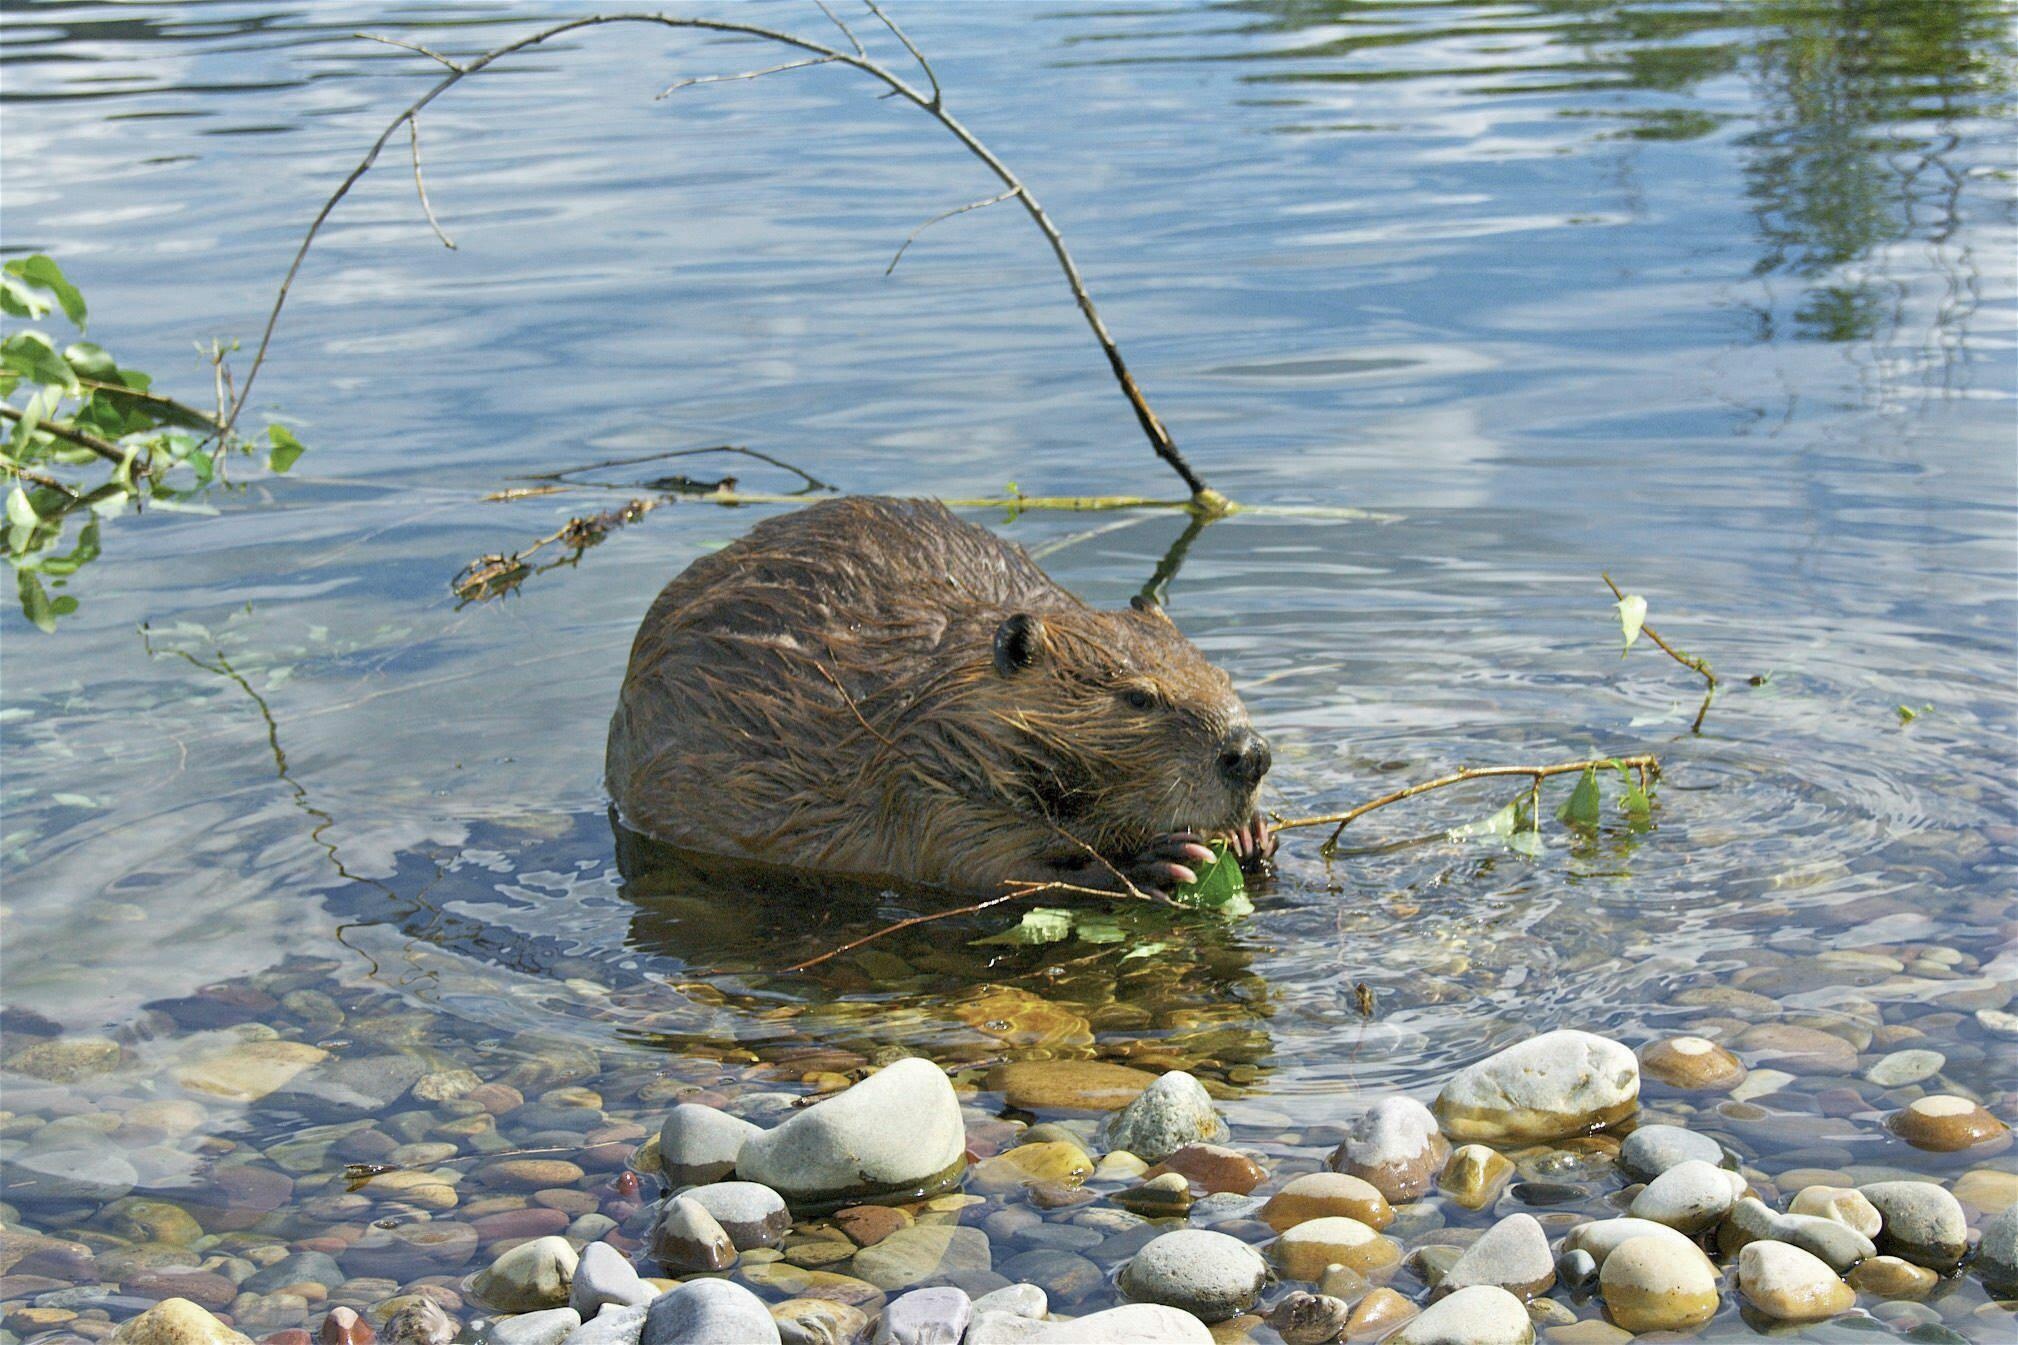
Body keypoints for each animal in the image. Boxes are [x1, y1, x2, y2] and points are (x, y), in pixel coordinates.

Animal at [597, 500, 1283, 899]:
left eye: (1222, 676)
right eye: (1139, 697)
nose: (1249, 754)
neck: (935, 689)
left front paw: (1253, 834)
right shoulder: (917, 777)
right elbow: (981, 865)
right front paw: (1158, 862)